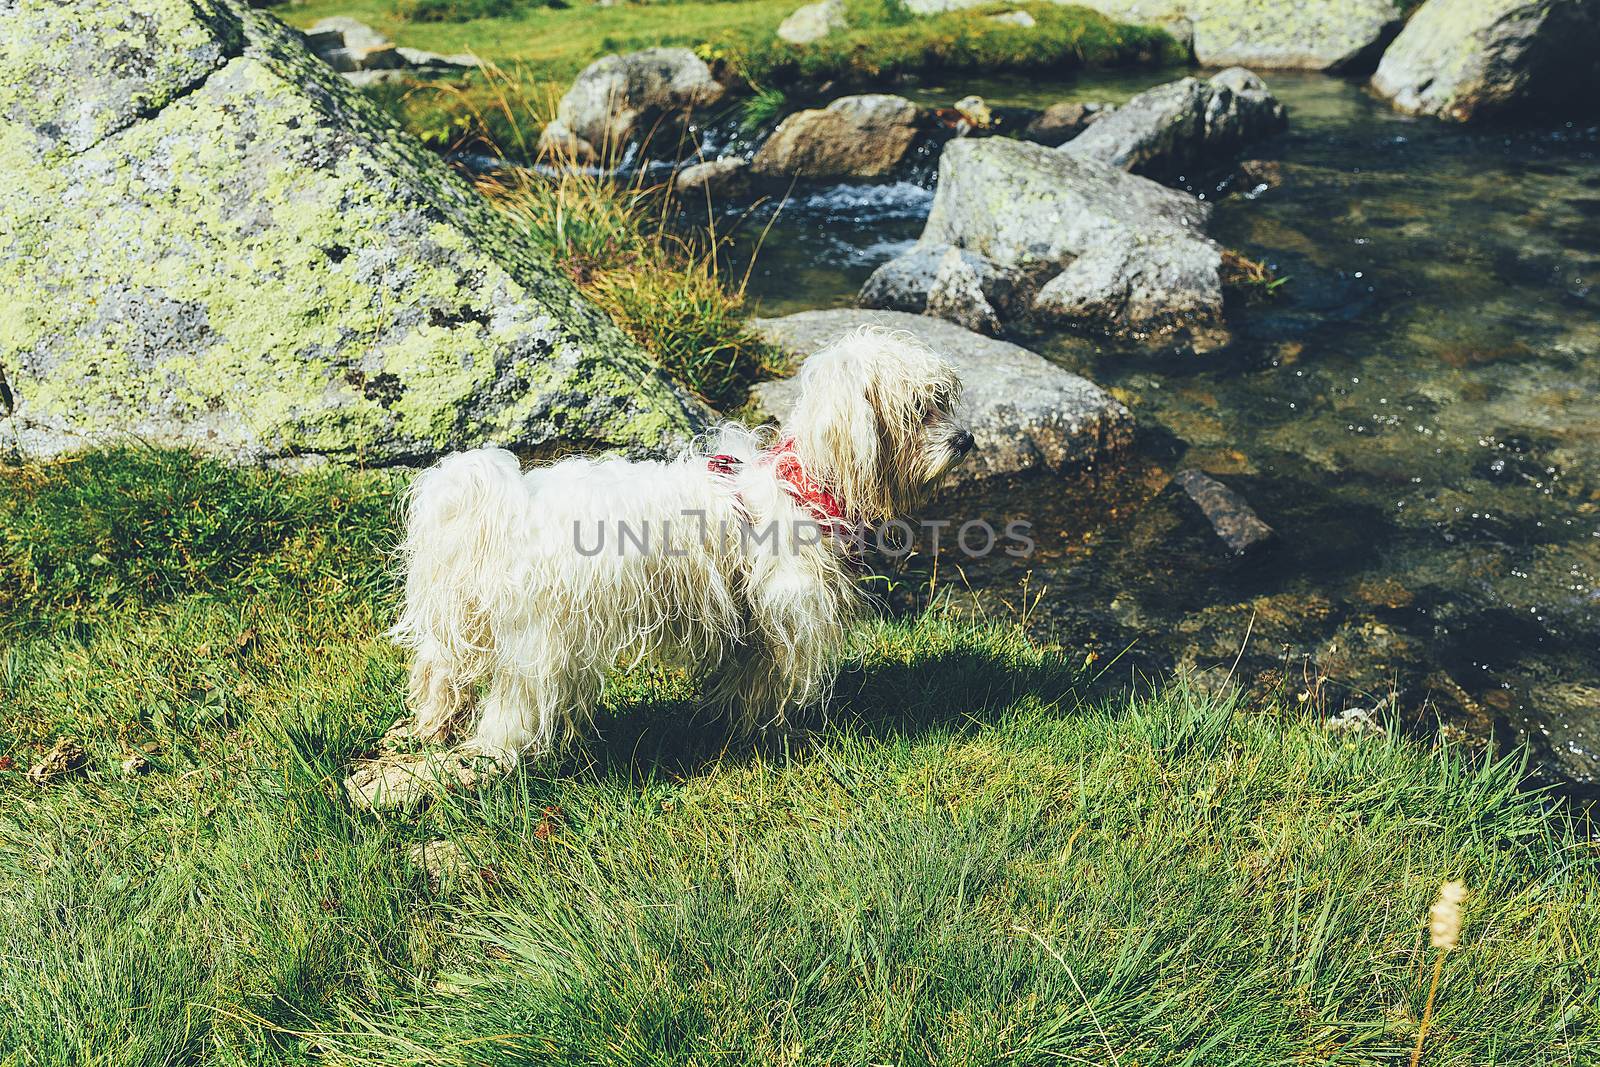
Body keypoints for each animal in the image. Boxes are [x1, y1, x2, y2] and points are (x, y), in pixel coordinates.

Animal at [387, 327, 972, 767]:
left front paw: (732, 722)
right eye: (921, 410)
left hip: (464, 621)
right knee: (516, 704)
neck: (806, 482)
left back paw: (427, 730)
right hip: (542, 639)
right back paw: (497, 754)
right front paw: (775, 735)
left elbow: (744, 679)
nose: (965, 440)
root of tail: (508, 508)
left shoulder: (751, 623)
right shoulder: (788, 613)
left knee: (441, 671)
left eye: (945, 403)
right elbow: (774, 680)